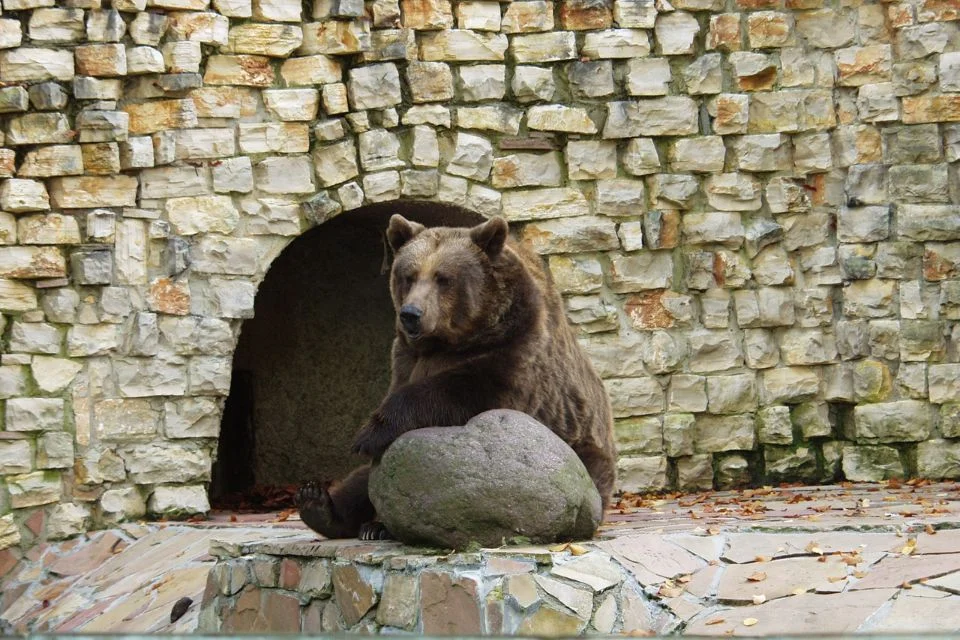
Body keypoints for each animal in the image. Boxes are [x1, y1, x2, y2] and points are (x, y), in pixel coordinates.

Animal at [296, 214, 620, 540]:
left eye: (443, 278)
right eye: (409, 275)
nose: (411, 313)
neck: (450, 341)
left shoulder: (516, 348)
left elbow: (463, 393)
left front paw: (369, 432)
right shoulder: (405, 356)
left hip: (582, 453)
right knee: (362, 480)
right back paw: (320, 504)